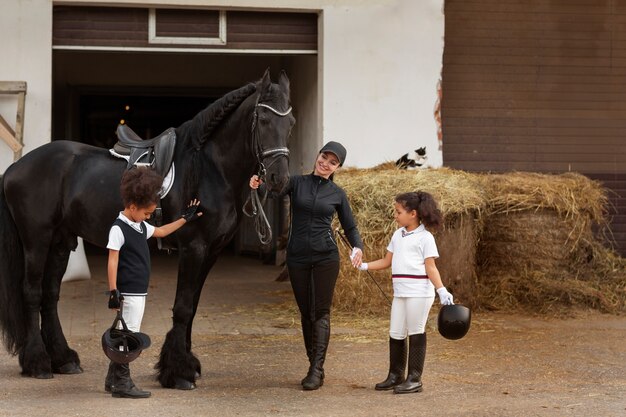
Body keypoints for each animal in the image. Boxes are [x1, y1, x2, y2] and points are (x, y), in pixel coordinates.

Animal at [0, 69, 294, 386]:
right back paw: (38, 363)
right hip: (36, 240)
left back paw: (63, 359)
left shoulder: (211, 251)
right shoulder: (193, 248)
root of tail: (15, 169)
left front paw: (184, 363)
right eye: (263, 120)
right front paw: (178, 372)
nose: (279, 178)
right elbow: (183, 306)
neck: (209, 168)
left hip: (60, 242)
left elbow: (193, 306)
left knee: (50, 295)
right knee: (31, 293)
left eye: (290, 123)